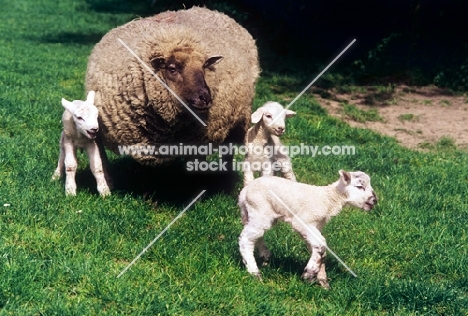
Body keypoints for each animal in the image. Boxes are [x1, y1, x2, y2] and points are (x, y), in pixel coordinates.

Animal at [239, 170, 378, 288]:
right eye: (359, 186)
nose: (375, 200)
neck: (328, 199)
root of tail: (245, 191)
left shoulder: (314, 227)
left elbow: (319, 249)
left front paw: (322, 282)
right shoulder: (303, 222)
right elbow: (321, 244)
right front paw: (309, 275)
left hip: (255, 214)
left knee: (256, 236)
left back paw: (265, 258)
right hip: (259, 209)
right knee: (245, 239)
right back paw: (255, 273)